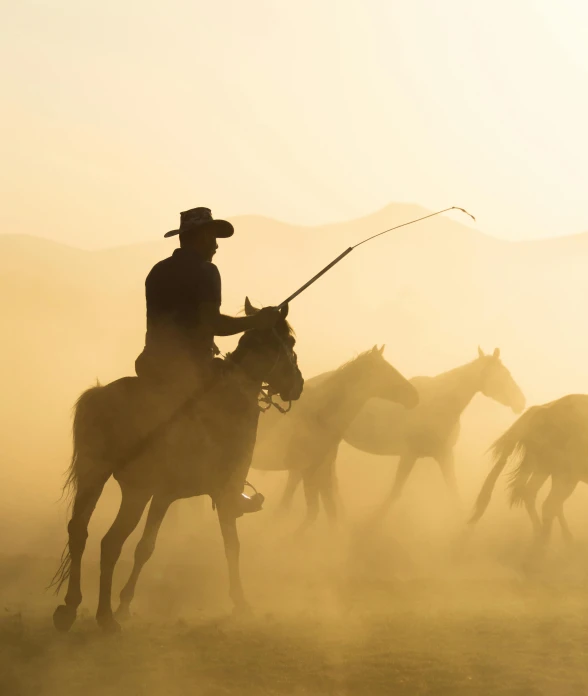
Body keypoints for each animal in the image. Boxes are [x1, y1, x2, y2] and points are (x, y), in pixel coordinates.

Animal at [52, 296, 306, 632]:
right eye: (289, 342)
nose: (298, 385)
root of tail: (101, 397)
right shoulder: (224, 492)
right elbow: (232, 545)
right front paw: (241, 603)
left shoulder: (164, 496)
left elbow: (145, 548)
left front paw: (125, 603)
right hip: (135, 491)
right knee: (110, 542)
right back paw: (104, 617)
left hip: (93, 476)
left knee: (79, 532)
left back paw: (70, 607)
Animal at [250, 346, 420, 532]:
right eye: (386, 370)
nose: (414, 396)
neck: (320, 415)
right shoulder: (310, 470)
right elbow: (315, 511)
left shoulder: (322, 469)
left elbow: (329, 510)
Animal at [278, 346, 524, 524]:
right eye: (503, 376)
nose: (521, 402)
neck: (439, 403)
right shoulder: (410, 454)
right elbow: (396, 491)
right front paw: (373, 519)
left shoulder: (444, 454)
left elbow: (454, 491)